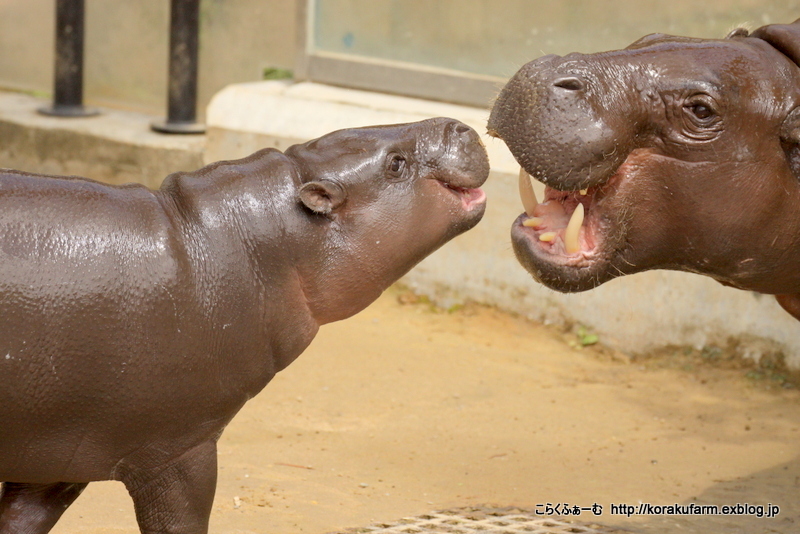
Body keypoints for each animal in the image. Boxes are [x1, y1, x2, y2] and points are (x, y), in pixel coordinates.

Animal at [0, 119, 488, 534]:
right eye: (396, 164)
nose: (461, 125)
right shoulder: (177, 450)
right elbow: (181, 521)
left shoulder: (56, 458)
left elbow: (21, 519)